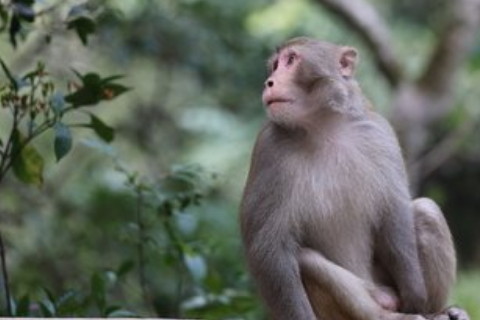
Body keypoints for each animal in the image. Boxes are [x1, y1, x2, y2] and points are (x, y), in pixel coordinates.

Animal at [240, 37, 468, 320]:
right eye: (275, 66)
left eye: (291, 60)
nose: (269, 82)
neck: (325, 128)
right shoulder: (269, 150)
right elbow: (269, 248)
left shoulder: (379, 132)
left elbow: (393, 214)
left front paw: (416, 296)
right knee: (307, 261)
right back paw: (387, 315)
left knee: (426, 210)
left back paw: (435, 311)